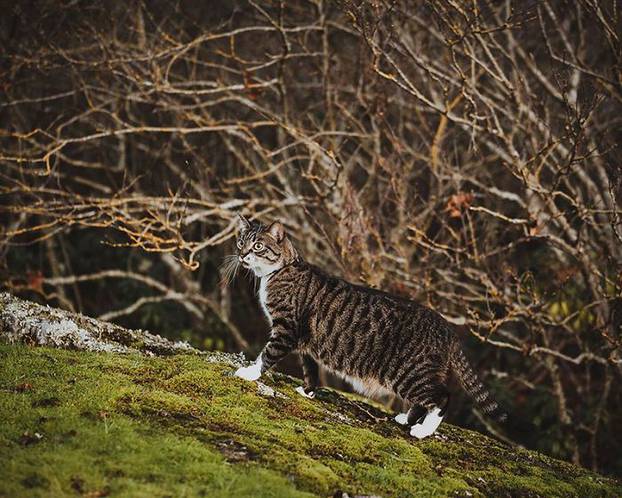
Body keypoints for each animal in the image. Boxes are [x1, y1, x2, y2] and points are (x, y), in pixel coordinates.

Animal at [229, 216, 508, 438]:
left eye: (258, 245)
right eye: (240, 242)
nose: (242, 255)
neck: (279, 271)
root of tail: (448, 329)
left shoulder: (286, 329)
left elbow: (267, 354)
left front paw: (249, 373)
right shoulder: (305, 343)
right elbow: (310, 369)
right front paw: (307, 391)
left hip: (409, 371)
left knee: (441, 397)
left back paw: (422, 430)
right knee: (423, 401)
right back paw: (405, 419)